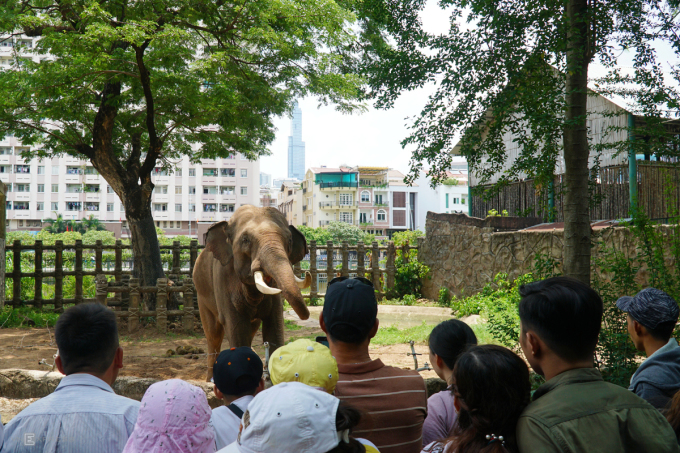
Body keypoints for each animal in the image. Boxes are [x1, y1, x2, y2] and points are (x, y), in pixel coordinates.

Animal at [193, 206, 312, 382]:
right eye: (245, 240)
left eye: (289, 241)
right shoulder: (222, 278)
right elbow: (236, 327)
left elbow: (275, 325)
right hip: (202, 295)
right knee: (214, 334)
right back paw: (211, 380)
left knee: (251, 329)